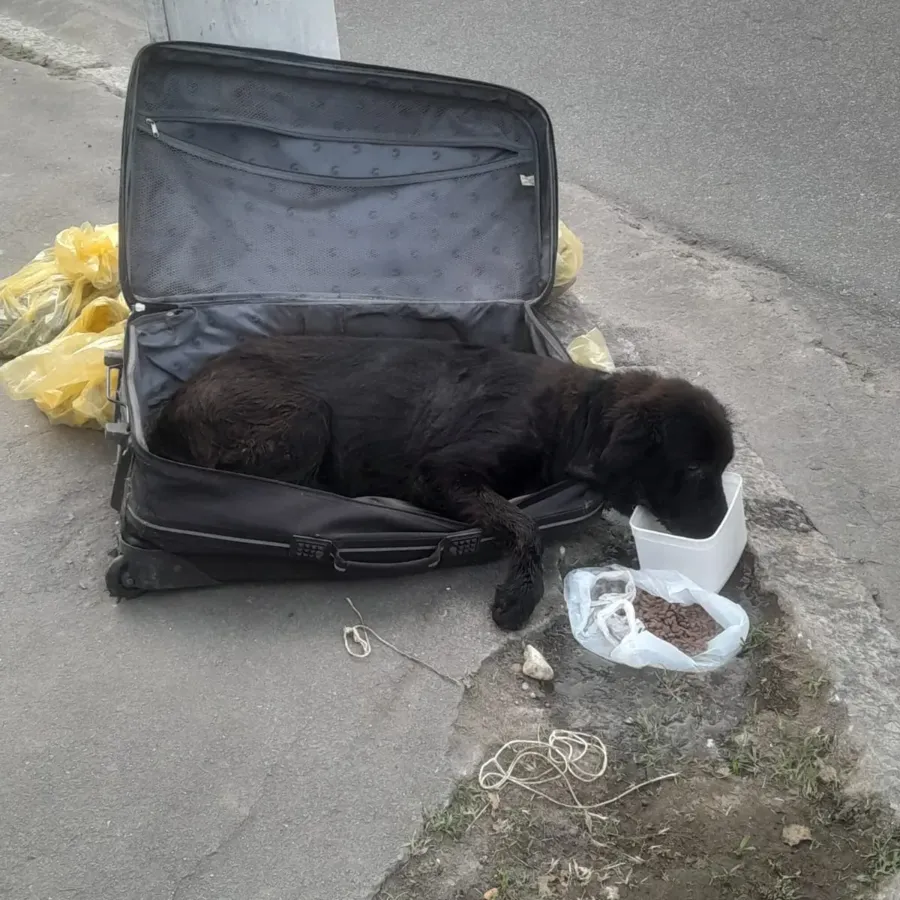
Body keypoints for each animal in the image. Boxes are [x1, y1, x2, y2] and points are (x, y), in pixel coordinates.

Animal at [149, 334, 732, 628]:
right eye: (696, 469)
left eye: (724, 466)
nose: (723, 529)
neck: (574, 419)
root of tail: (167, 411)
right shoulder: (442, 472)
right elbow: (525, 524)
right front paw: (520, 595)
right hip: (305, 419)